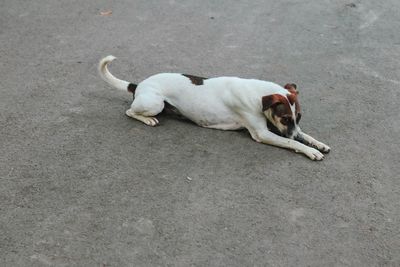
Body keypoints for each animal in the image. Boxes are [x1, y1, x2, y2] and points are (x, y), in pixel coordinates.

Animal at [98, 55, 330, 160]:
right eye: (285, 118)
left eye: (298, 117)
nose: (293, 132)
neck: (257, 95)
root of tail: (139, 85)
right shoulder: (263, 133)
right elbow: (293, 143)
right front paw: (310, 150)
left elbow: (304, 135)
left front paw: (318, 143)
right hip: (155, 103)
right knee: (130, 111)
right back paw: (147, 119)